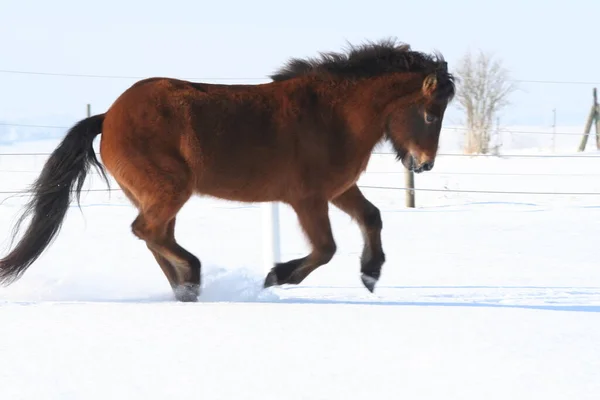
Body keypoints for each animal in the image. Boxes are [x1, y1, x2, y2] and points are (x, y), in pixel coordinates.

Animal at [0, 38, 452, 300]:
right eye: (431, 114)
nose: (425, 165)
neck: (333, 115)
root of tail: (108, 117)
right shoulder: (308, 198)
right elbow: (325, 248)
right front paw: (277, 276)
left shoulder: (338, 190)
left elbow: (372, 217)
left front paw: (370, 274)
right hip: (170, 188)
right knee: (147, 231)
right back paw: (193, 276)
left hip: (160, 195)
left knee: (155, 237)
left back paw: (187, 289)